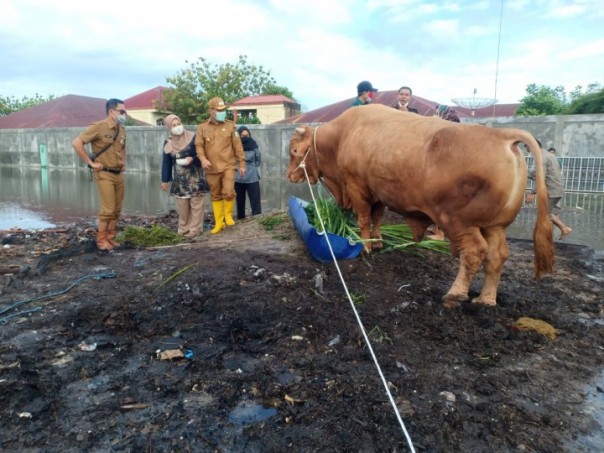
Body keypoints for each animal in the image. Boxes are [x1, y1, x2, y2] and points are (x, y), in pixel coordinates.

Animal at [286, 103, 556, 308]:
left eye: (295, 150)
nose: (290, 175)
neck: (344, 134)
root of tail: (503, 136)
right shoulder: (378, 194)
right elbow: (377, 218)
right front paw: (377, 243)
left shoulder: (357, 188)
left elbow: (363, 218)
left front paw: (365, 247)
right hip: (495, 226)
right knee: (496, 256)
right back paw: (485, 299)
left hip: (459, 222)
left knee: (474, 252)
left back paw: (455, 294)